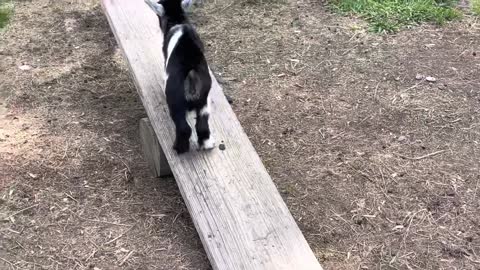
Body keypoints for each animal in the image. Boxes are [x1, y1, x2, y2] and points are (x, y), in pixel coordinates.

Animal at [143, 0, 213, 154]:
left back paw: (179, 148)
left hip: (175, 100)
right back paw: (207, 144)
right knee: (202, 123)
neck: (178, 21)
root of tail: (191, 74)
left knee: (184, 128)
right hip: (204, 100)